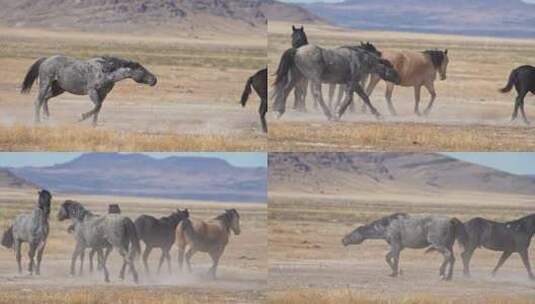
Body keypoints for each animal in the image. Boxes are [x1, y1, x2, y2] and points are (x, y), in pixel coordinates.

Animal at [21, 55, 159, 125]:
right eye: (142, 70)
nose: (154, 80)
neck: (106, 72)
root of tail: (45, 60)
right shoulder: (92, 91)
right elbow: (97, 106)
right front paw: (81, 117)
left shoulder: (103, 94)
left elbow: (98, 108)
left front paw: (94, 125)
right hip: (45, 84)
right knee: (38, 101)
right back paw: (37, 122)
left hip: (58, 89)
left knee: (45, 99)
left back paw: (47, 118)